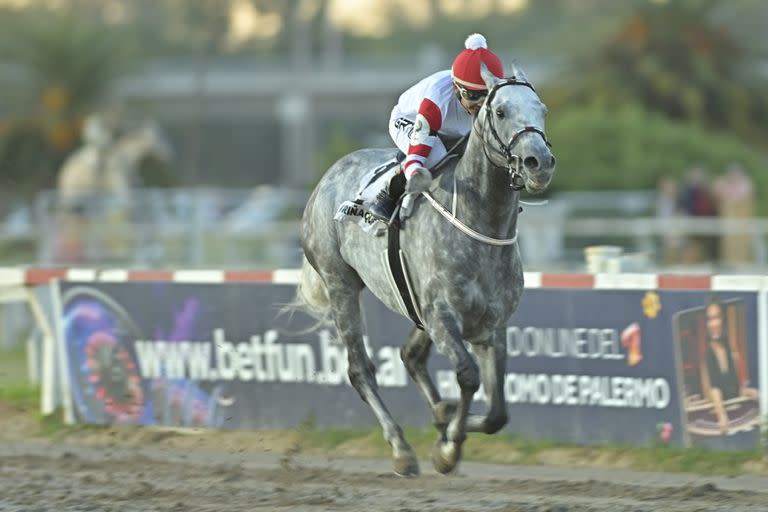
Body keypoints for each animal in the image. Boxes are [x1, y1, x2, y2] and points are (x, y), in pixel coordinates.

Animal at [296, 63, 556, 476]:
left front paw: (446, 421)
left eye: (542, 109)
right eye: (501, 112)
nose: (539, 164)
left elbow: (497, 412)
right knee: (360, 369)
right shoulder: (442, 316)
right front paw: (447, 448)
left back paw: (437, 412)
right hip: (341, 284)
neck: (479, 222)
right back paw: (401, 448)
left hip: (414, 307)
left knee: (410, 356)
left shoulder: (491, 324)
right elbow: (467, 377)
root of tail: (327, 178)